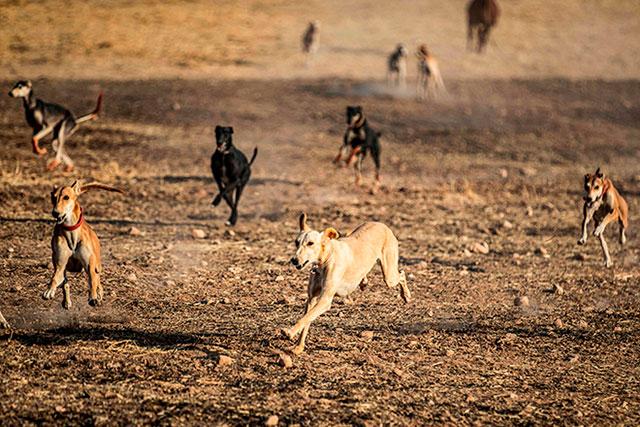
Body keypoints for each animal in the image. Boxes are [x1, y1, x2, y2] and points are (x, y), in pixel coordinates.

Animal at [44, 182, 124, 310]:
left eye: (66, 197)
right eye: (53, 197)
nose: (55, 213)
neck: (71, 230)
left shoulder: (90, 264)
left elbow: (92, 280)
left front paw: (93, 297)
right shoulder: (60, 264)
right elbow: (55, 278)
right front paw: (50, 290)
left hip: (97, 265)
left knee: (97, 279)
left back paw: (99, 294)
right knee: (65, 283)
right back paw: (66, 301)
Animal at [282, 213, 412, 354]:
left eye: (310, 243)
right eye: (296, 242)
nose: (294, 260)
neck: (326, 258)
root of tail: (382, 225)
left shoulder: (325, 300)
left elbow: (305, 318)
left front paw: (289, 332)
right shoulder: (311, 299)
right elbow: (307, 320)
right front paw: (299, 347)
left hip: (389, 277)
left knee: (402, 274)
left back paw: (406, 295)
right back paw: (363, 282)